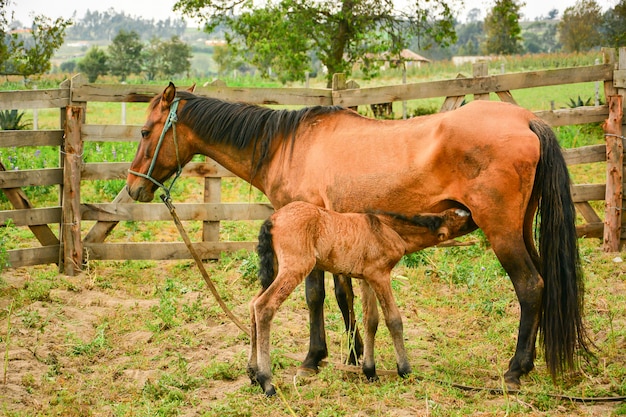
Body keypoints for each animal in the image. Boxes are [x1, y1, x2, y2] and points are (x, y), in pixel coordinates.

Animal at [246, 202, 470, 396]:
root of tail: (272, 219)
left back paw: (252, 372)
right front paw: (405, 370)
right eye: (458, 217)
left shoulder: (368, 278)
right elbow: (394, 320)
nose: (470, 211)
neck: (386, 228)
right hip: (295, 267)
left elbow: (371, 320)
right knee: (264, 306)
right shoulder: (380, 275)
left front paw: (370, 371)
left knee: (253, 304)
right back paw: (267, 382)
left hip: (275, 270)